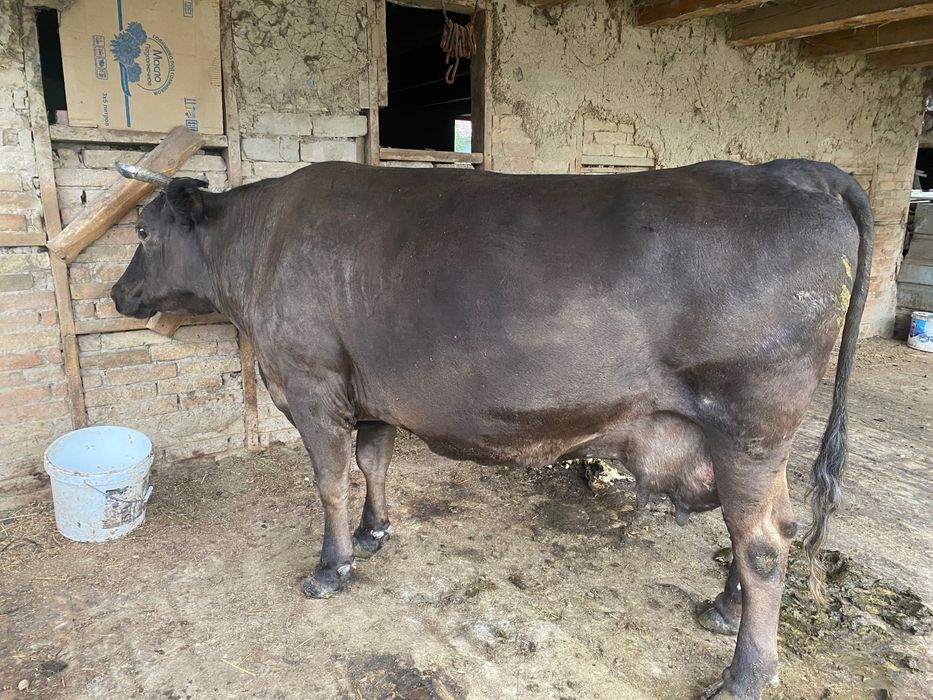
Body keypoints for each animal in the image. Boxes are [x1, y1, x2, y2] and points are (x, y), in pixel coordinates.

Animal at [110, 157, 872, 699]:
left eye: (143, 233)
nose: (116, 293)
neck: (260, 245)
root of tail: (795, 169)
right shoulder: (370, 394)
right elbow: (373, 464)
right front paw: (374, 533)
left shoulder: (309, 385)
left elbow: (329, 480)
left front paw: (332, 566)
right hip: (752, 442)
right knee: (768, 528)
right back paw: (721, 607)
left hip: (749, 425)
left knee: (764, 544)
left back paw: (743, 676)